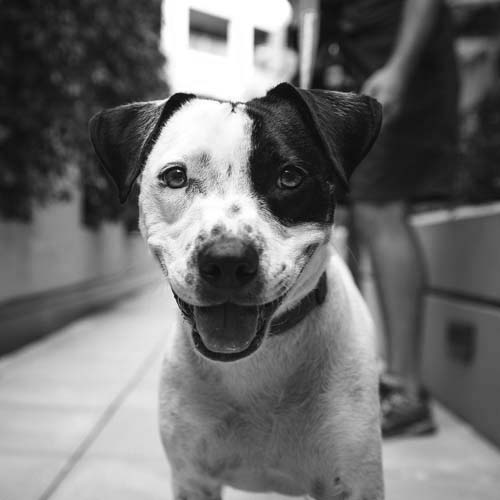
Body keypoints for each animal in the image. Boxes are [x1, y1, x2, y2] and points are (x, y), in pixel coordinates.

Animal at [89, 83, 382, 500]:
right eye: (175, 176)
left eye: (290, 177)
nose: (227, 260)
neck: (259, 364)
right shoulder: (193, 478)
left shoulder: (355, 481)